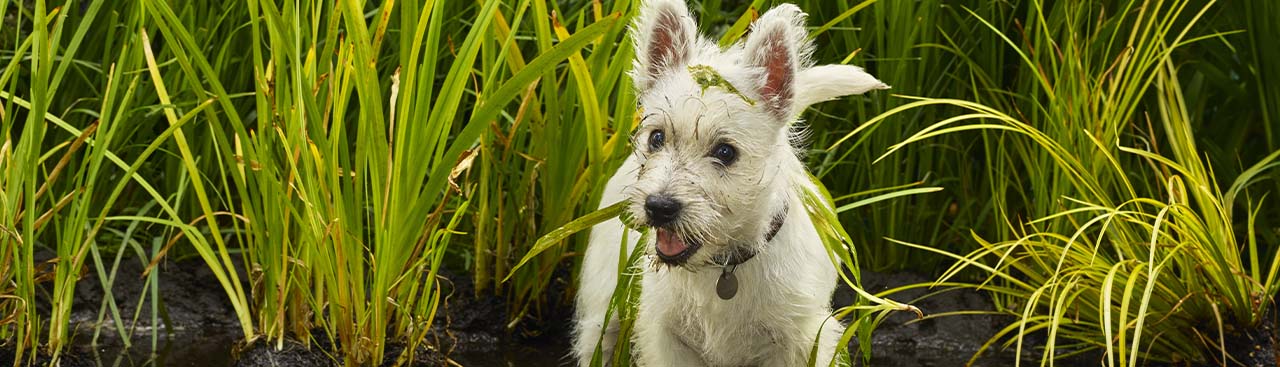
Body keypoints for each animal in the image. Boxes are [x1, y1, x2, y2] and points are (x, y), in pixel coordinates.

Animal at [576, 1, 885, 365]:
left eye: (725, 152)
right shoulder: (666, 337)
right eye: (656, 138)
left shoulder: (799, 341)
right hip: (603, 314)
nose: (659, 207)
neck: (723, 267)